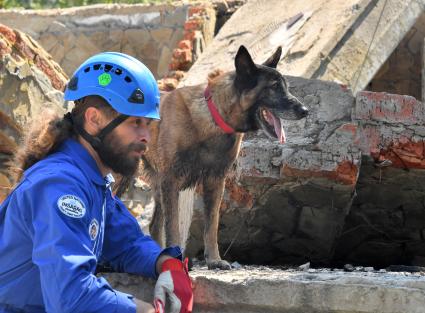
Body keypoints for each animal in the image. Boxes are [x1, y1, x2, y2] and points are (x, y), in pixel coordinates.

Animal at [142, 44, 308, 268]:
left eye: (286, 87)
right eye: (273, 87)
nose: (305, 111)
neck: (214, 117)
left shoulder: (215, 182)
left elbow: (211, 225)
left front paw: (214, 259)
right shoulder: (171, 181)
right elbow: (174, 226)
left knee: (154, 226)